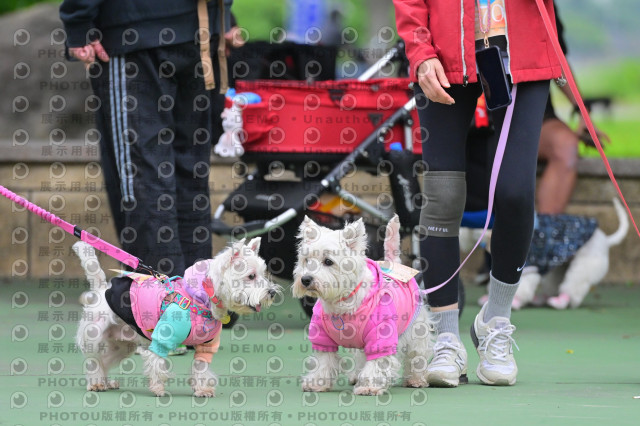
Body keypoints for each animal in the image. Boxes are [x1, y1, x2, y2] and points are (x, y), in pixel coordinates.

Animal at [73, 238, 279, 397]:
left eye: (263, 274)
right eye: (251, 276)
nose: (272, 293)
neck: (202, 300)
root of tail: (101, 289)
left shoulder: (206, 346)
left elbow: (200, 368)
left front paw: (202, 389)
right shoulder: (162, 338)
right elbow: (157, 362)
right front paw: (158, 388)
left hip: (122, 346)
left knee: (104, 361)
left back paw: (105, 382)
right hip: (93, 336)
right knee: (93, 361)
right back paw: (96, 383)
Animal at [292, 214, 432, 395]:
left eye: (328, 261)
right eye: (306, 260)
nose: (305, 279)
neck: (342, 304)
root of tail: (394, 263)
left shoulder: (381, 335)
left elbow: (377, 362)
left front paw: (369, 386)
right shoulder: (323, 338)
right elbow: (324, 361)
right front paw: (316, 383)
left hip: (416, 328)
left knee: (417, 354)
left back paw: (415, 380)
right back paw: (355, 377)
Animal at [473, 198, 629, 309]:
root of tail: (606, 240)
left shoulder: (528, 268)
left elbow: (521, 286)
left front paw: (515, 302)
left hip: (585, 265)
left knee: (573, 286)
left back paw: (561, 301)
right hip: (561, 266)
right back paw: (541, 299)